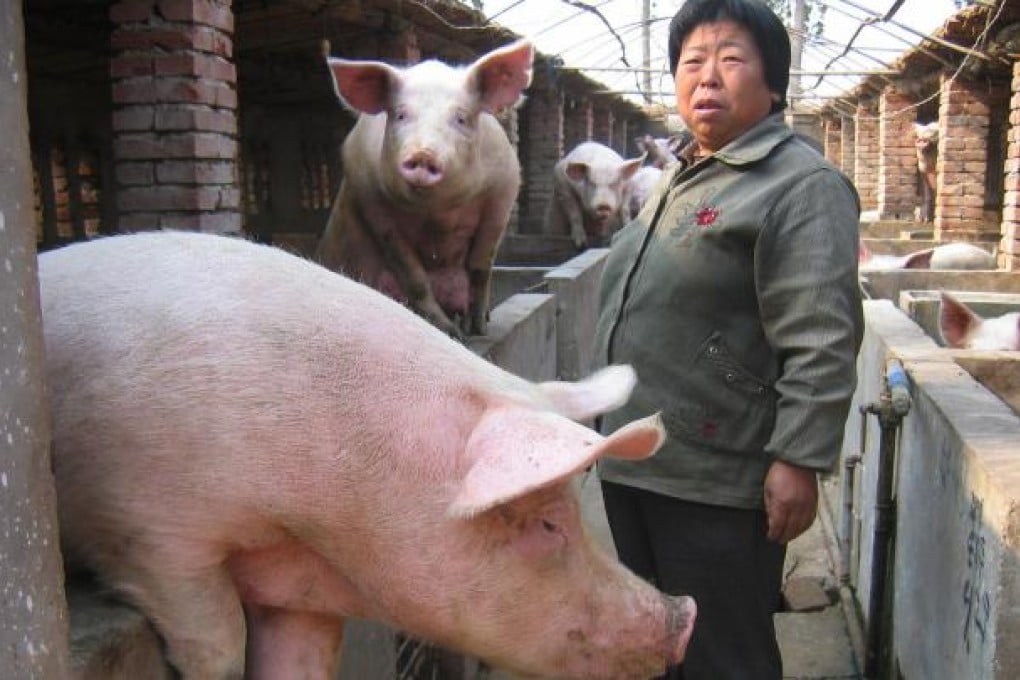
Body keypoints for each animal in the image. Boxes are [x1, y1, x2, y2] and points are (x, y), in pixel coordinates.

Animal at [39, 231, 696, 680]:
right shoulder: (147, 524)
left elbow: (304, 661)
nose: (685, 616)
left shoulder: (300, 588)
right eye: (547, 523)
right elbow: (218, 641)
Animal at [314, 40, 534, 340]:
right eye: (400, 115)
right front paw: (451, 334)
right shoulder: (374, 204)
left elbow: (480, 266)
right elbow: (413, 277)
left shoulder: (502, 193)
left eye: (461, 118)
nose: (423, 154)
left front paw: (476, 329)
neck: (438, 214)